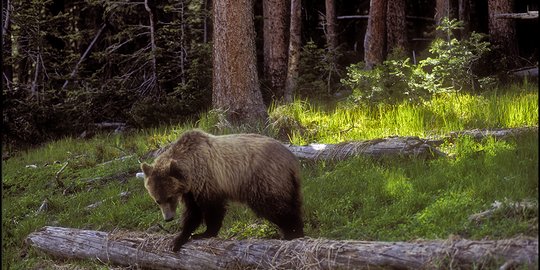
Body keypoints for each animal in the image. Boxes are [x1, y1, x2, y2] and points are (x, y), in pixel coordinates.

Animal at [140, 129, 304, 251]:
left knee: (274, 206)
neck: (191, 172)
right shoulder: (190, 191)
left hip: (264, 178)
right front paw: (179, 238)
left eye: (169, 197)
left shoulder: (208, 180)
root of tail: (292, 160)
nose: (168, 218)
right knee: (293, 204)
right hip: (288, 184)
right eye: (157, 200)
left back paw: (291, 233)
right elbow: (193, 213)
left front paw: (205, 233)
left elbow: (212, 209)